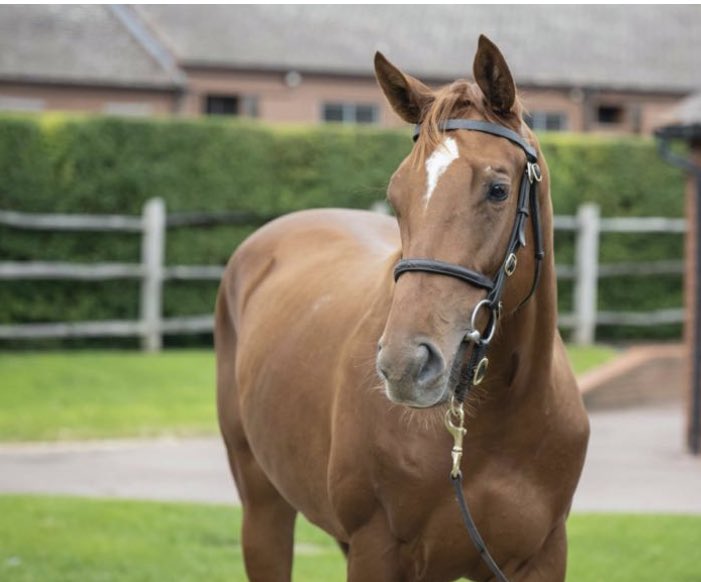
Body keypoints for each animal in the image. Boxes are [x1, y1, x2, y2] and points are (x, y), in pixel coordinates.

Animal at [215, 35, 589, 582]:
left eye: (498, 189)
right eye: (397, 196)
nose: (405, 365)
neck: (495, 424)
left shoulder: (542, 556)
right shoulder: (377, 551)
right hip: (263, 509)